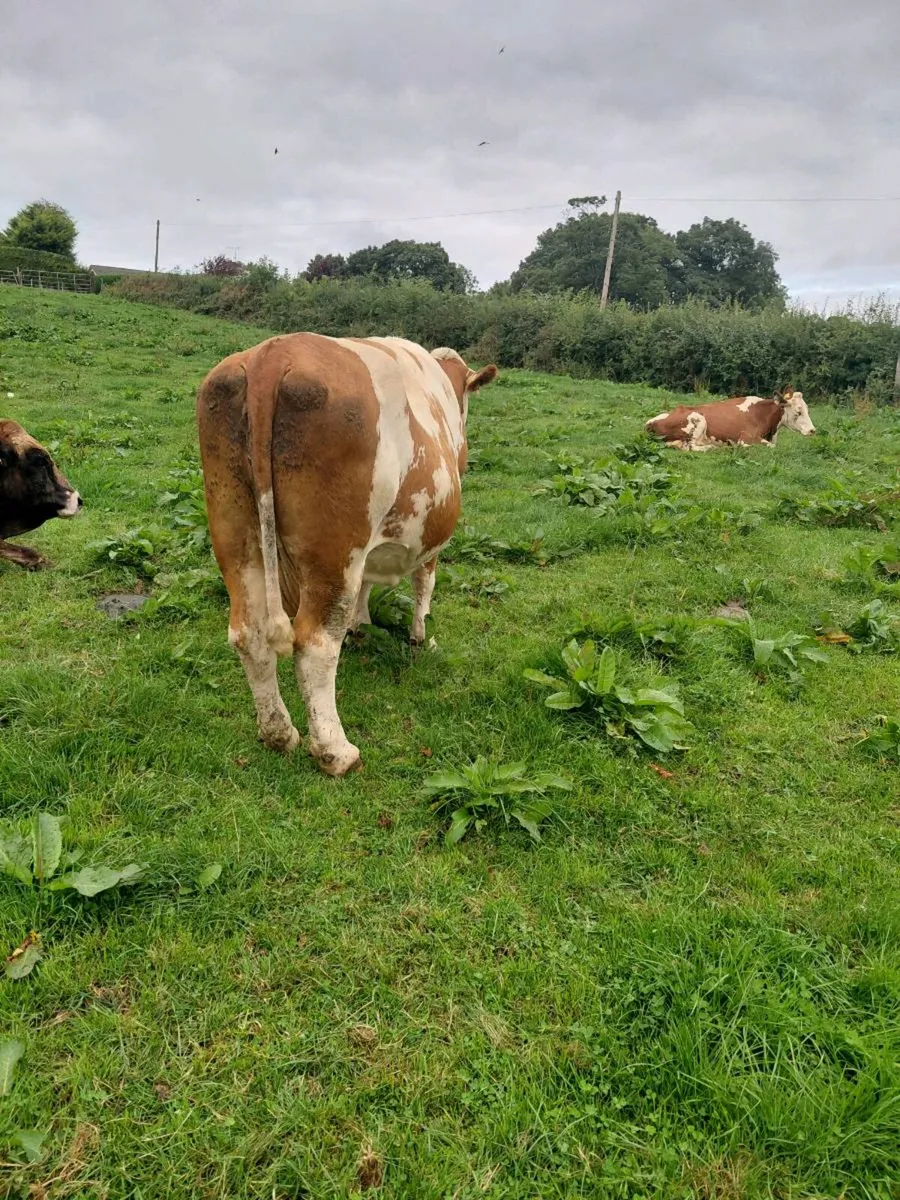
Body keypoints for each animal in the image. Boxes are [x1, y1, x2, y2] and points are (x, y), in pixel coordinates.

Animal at [197, 333, 498, 777]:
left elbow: (367, 586)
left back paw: (278, 734)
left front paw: (361, 625)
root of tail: (273, 353)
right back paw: (336, 752)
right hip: (334, 553)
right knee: (315, 645)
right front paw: (419, 636)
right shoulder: (430, 539)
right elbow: (424, 585)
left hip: (235, 531)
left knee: (248, 632)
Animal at [646, 388, 815, 448]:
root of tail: (649, 423)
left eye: (807, 410)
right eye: (798, 412)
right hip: (698, 419)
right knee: (692, 447)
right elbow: (772, 447)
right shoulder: (746, 438)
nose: (812, 430)